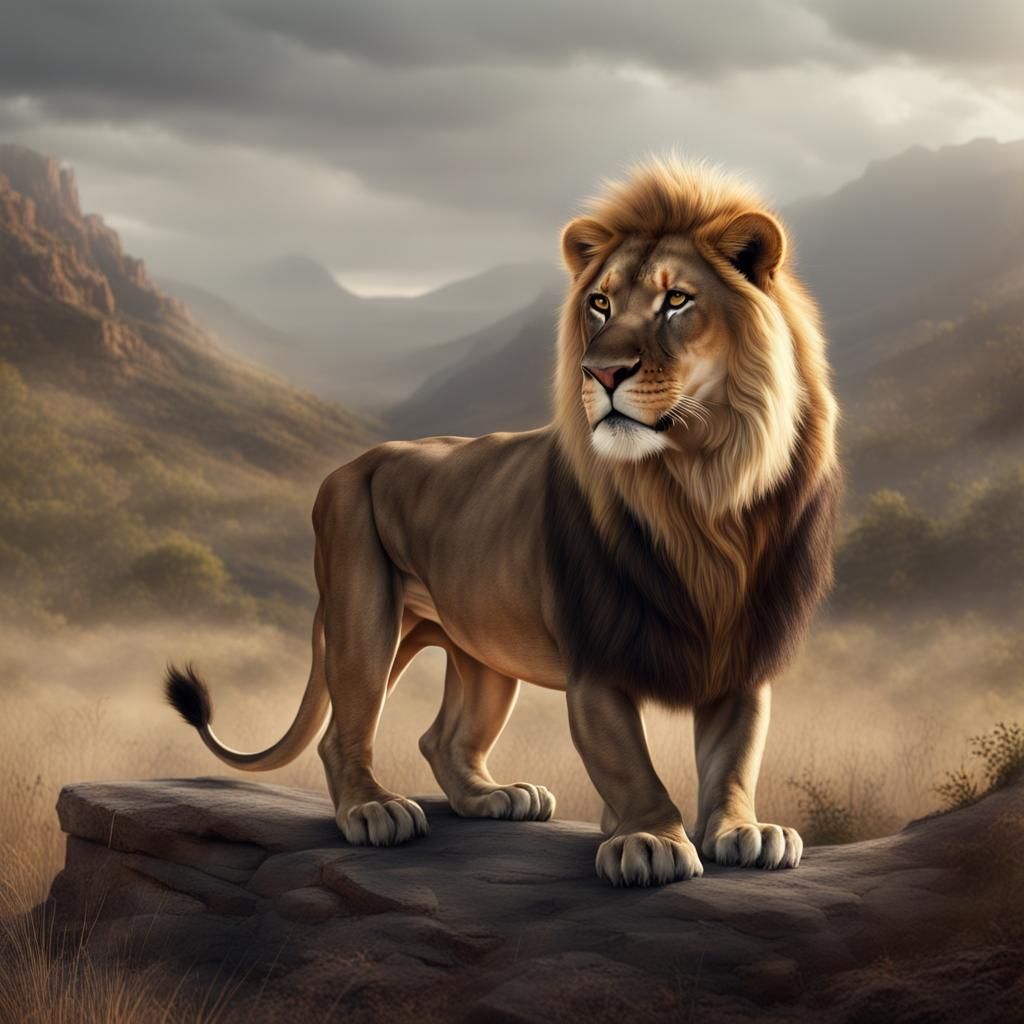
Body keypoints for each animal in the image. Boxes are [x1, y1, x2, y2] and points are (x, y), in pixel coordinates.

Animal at [166, 157, 839, 887]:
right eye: (599, 304)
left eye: (677, 301)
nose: (600, 372)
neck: (698, 491)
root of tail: (357, 462)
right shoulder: (595, 660)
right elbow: (629, 764)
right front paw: (649, 838)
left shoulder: (740, 650)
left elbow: (734, 757)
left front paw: (745, 830)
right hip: (363, 617)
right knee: (341, 733)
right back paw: (374, 810)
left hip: (480, 647)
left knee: (442, 738)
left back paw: (496, 797)